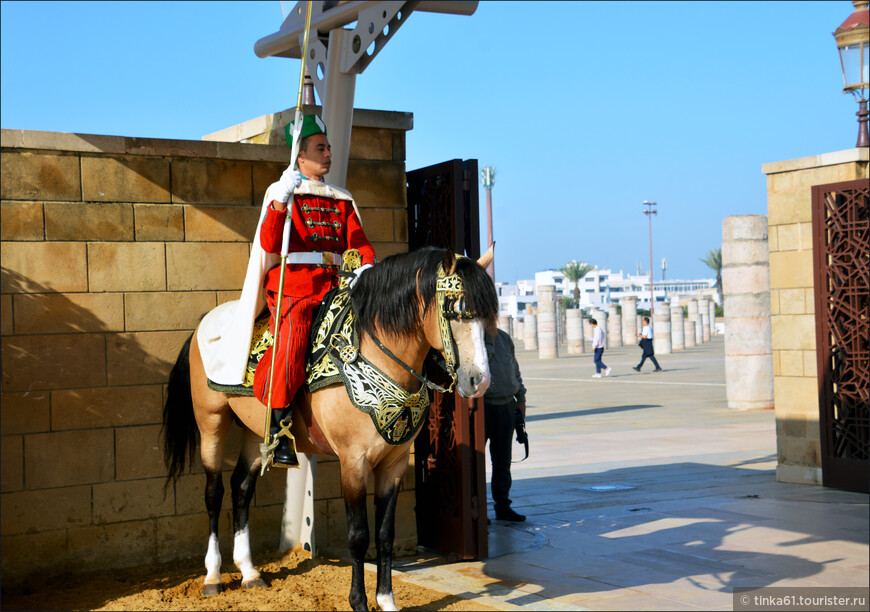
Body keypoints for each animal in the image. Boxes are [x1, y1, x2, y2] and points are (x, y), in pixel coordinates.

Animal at [158, 245, 498, 612]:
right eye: (457, 312)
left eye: (489, 317)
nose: (479, 381)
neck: (376, 355)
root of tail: (203, 323)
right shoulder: (353, 461)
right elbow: (359, 536)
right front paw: (359, 602)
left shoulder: (393, 464)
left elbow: (385, 535)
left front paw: (386, 600)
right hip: (211, 421)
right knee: (213, 491)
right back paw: (213, 576)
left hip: (254, 429)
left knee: (241, 488)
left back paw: (249, 572)